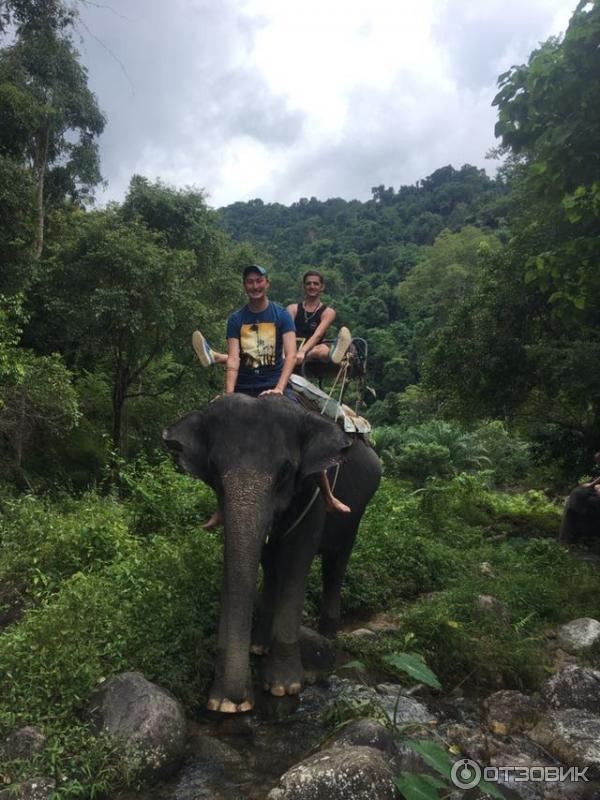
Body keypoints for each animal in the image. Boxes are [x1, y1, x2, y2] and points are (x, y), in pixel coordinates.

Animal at [162, 394, 382, 712]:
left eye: (286, 470)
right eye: (214, 469)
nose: (237, 699)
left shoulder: (313, 489)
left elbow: (297, 562)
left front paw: (283, 687)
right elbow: (237, 559)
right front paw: (223, 704)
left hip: (356, 513)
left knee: (335, 564)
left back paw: (329, 635)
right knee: (272, 568)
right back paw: (259, 646)